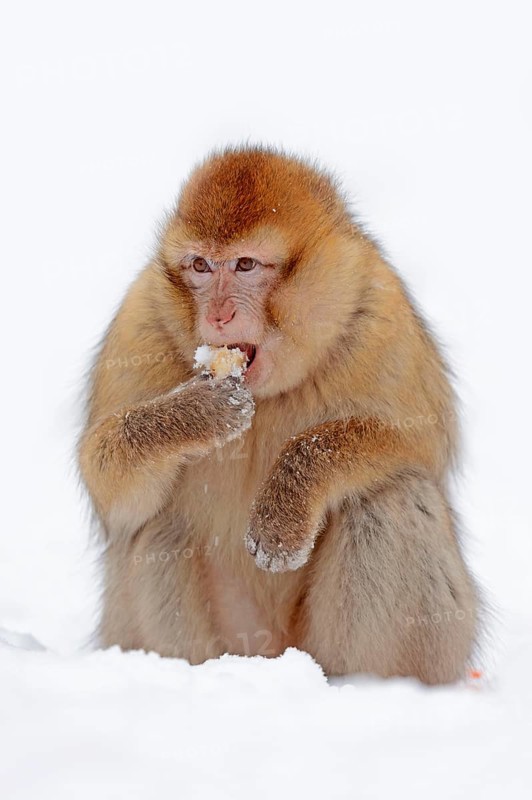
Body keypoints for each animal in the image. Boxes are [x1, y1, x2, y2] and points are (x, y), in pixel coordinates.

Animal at [78, 145, 480, 685]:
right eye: (200, 266)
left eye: (246, 264)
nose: (219, 314)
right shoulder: (140, 320)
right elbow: (110, 488)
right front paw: (194, 413)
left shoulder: (378, 311)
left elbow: (418, 442)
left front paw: (288, 500)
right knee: (159, 525)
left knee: (391, 496)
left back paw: (367, 684)